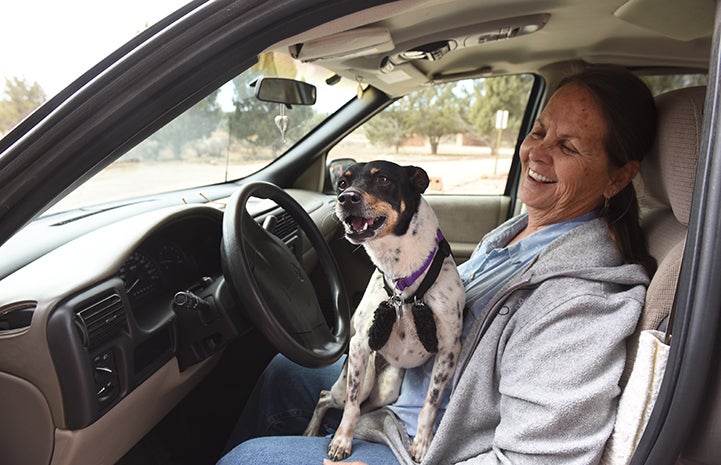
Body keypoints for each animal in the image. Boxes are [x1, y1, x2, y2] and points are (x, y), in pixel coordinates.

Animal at [302, 160, 462, 460]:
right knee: (327, 396)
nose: (346, 198)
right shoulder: (360, 345)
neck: (401, 278)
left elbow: (430, 404)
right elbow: (351, 405)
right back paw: (311, 430)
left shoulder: (448, 350)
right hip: (362, 378)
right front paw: (341, 441)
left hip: (387, 388)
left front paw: (422, 444)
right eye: (342, 183)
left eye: (384, 179)